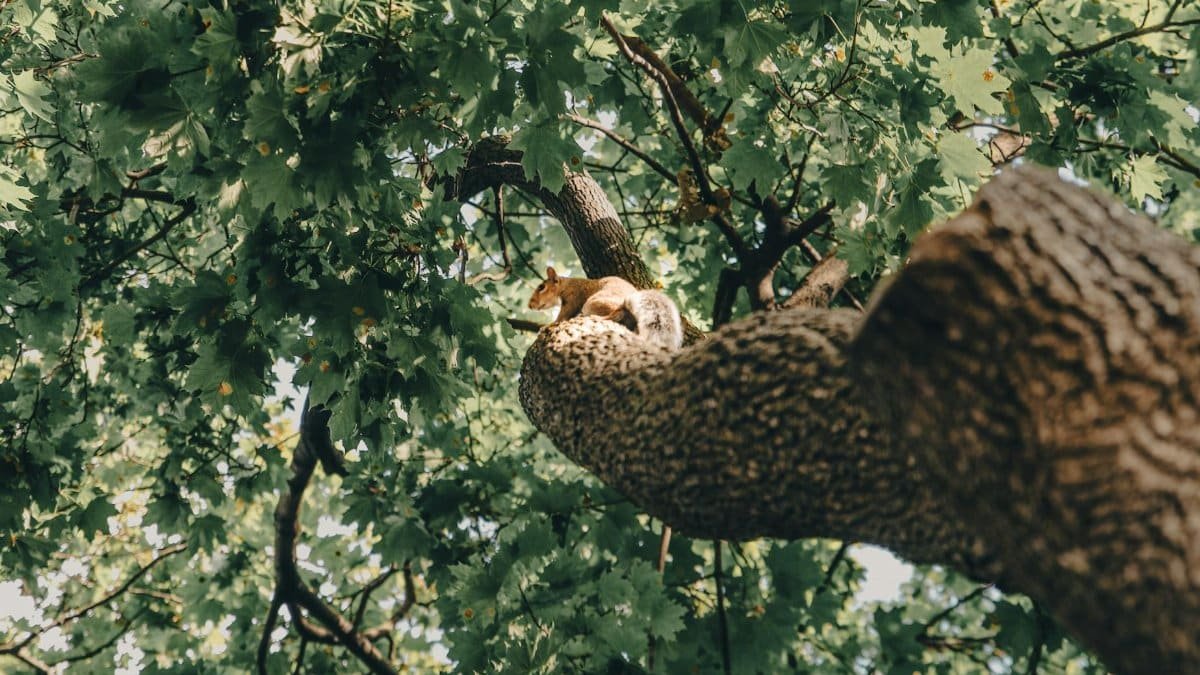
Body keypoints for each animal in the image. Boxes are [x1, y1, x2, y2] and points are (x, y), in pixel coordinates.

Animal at [527, 266, 683, 351]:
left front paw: (547, 325)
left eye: (541, 287)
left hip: (593, 303)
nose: (530, 305)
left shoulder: (573, 297)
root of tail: (628, 299)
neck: (566, 284)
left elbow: (563, 315)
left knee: (617, 313)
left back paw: (597, 317)